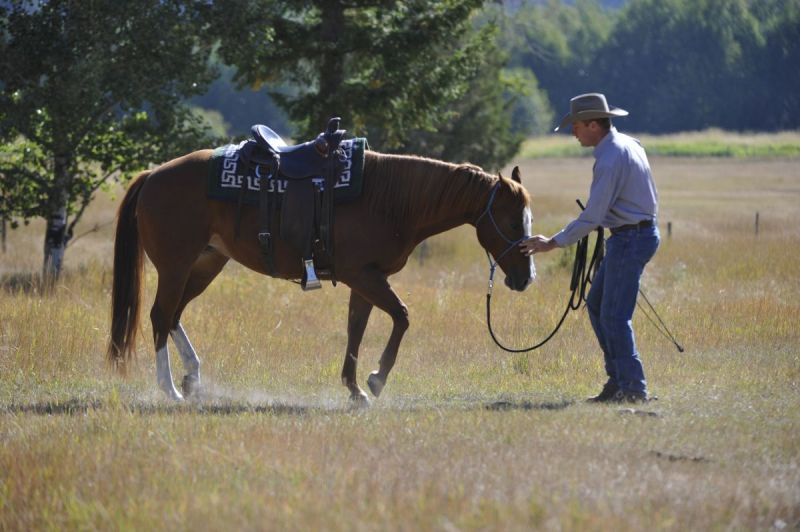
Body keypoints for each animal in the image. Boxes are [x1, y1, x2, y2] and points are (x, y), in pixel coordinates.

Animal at [107, 148, 535, 403]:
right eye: (514, 221)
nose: (526, 278)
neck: (388, 200)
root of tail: (153, 175)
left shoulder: (365, 280)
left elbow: (356, 329)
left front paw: (355, 388)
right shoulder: (363, 276)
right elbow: (401, 317)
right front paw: (376, 380)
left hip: (205, 264)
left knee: (174, 316)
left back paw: (192, 377)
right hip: (176, 266)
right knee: (161, 316)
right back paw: (170, 389)